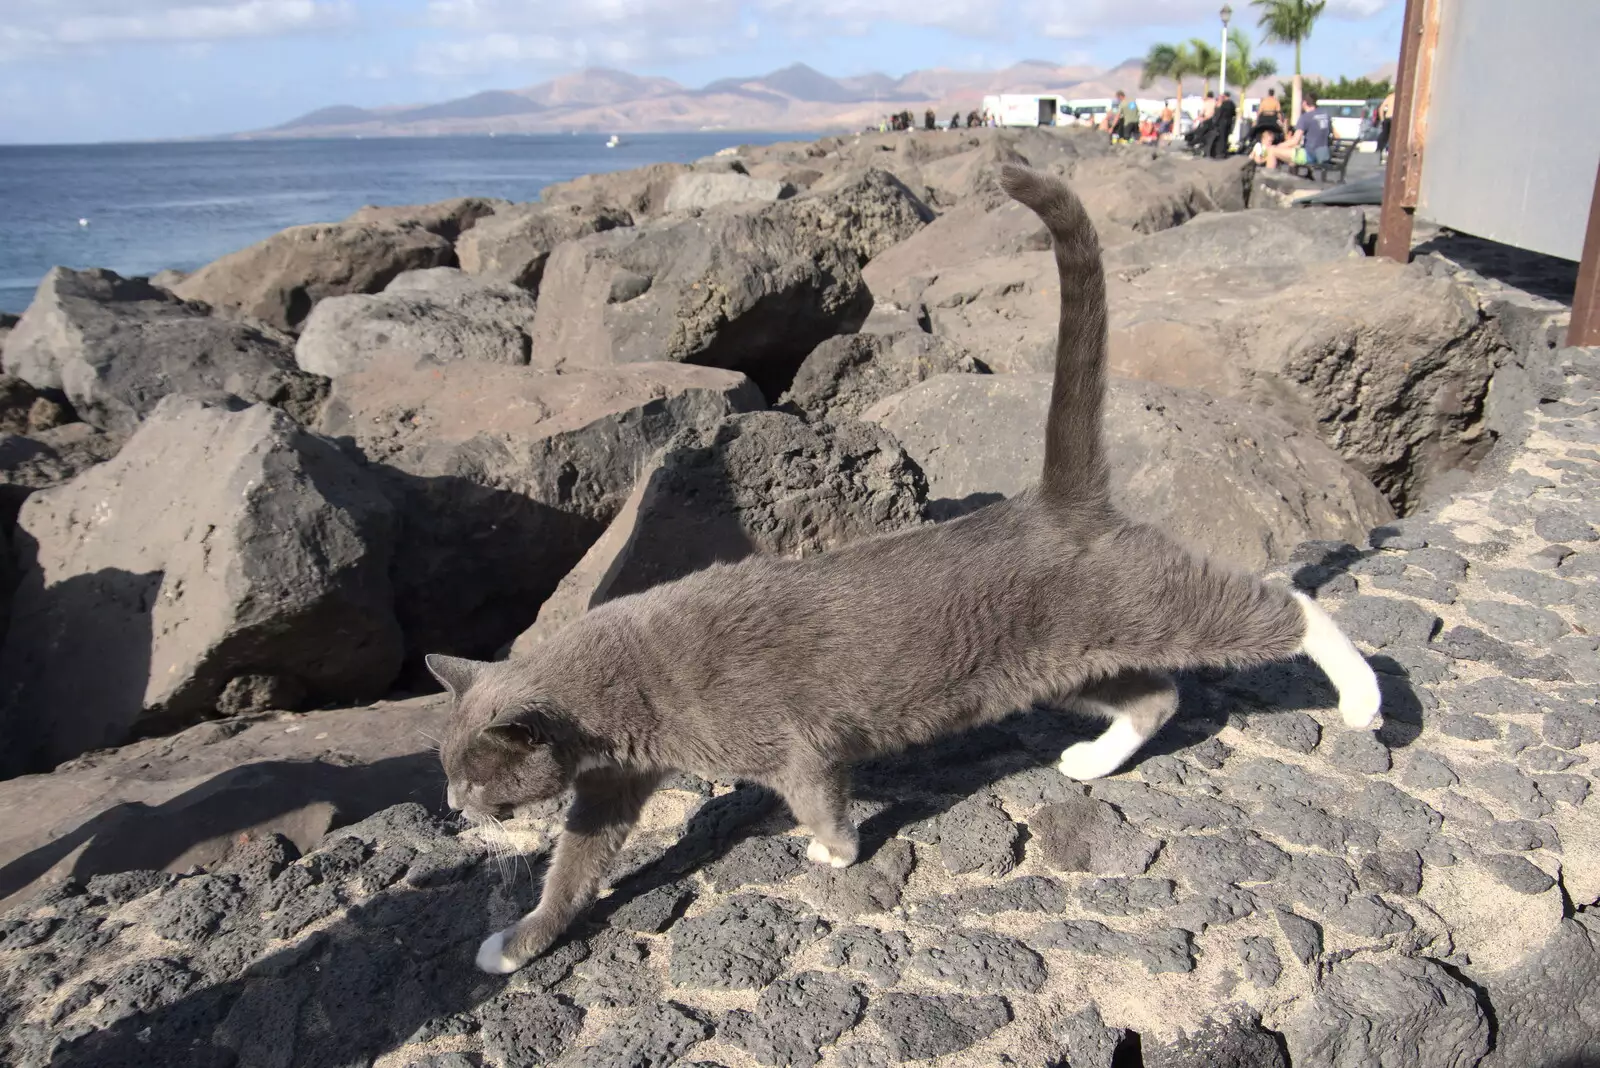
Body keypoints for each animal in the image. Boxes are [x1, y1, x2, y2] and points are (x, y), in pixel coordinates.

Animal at [432, 163, 1382, 972]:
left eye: (471, 775)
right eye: (445, 770)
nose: (451, 806)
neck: (619, 684)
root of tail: (1055, 501)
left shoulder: (789, 743)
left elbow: (815, 792)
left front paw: (835, 850)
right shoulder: (612, 780)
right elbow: (577, 862)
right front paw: (518, 942)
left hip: (1144, 604)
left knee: (1277, 606)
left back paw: (1363, 696)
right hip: (1064, 659)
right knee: (1156, 695)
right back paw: (1092, 760)